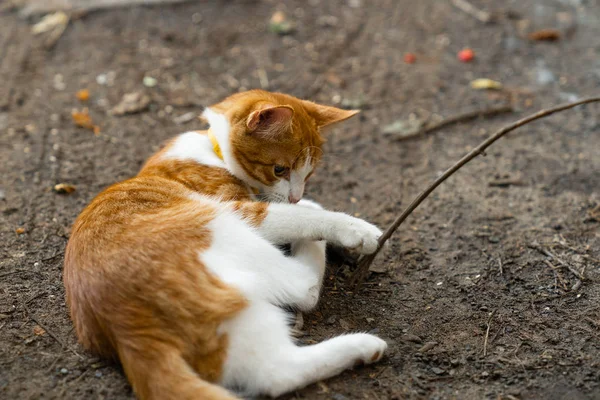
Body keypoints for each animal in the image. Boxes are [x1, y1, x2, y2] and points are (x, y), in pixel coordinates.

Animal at [63, 90, 386, 400]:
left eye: (309, 173)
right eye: (279, 169)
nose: (295, 195)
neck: (212, 149)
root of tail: (126, 329)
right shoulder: (244, 211)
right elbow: (301, 216)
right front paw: (353, 228)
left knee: (276, 372)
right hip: (224, 228)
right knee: (302, 293)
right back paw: (362, 339)